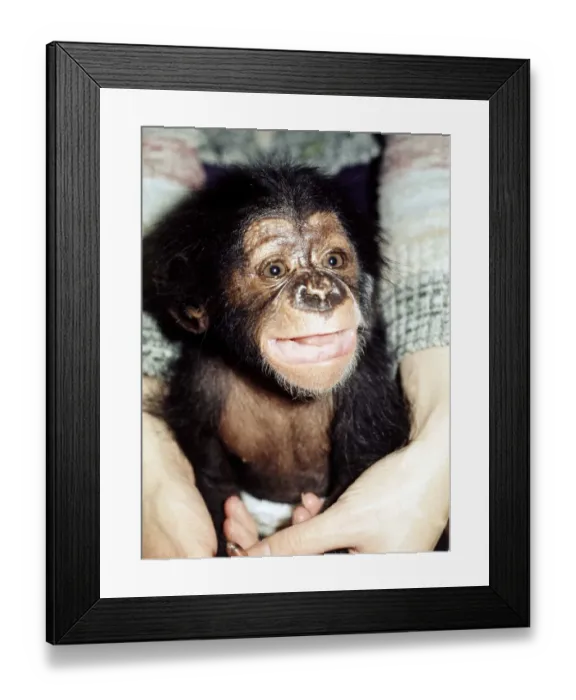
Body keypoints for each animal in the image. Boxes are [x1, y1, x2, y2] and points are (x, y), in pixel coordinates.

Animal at [143, 161, 415, 557]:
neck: (282, 390)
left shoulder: (368, 387)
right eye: (275, 270)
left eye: (333, 260)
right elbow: (206, 463)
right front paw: (231, 531)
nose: (320, 290)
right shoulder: (199, 381)